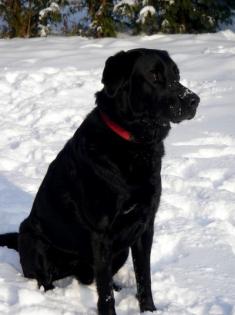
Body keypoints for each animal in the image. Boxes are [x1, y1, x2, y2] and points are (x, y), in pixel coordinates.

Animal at [0, 48, 199, 314]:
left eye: (176, 75)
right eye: (154, 76)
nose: (194, 100)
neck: (135, 144)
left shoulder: (145, 225)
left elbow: (143, 277)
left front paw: (149, 309)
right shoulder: (102, 232)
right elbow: (104, 293)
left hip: (120, 251)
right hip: (32, 238)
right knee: (45, 279)